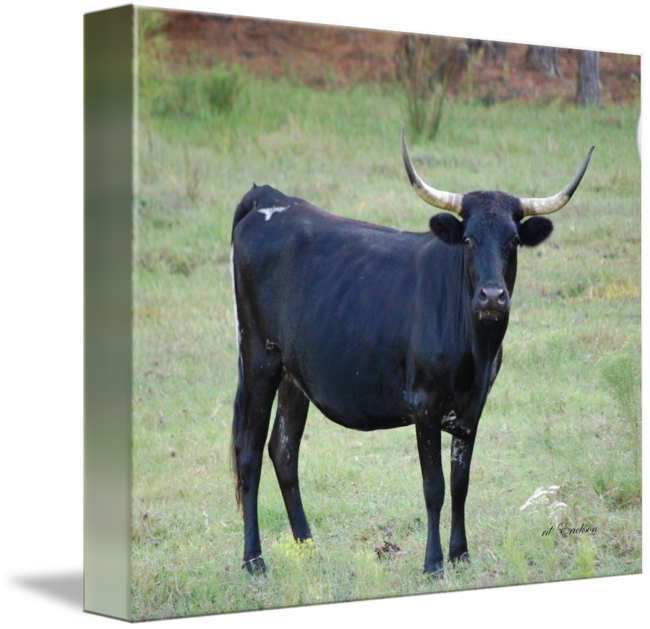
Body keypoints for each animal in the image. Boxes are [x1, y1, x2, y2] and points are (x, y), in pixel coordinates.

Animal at [229, 125, 593, 576]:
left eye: (513, 241)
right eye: (468, 239)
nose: (492, 296)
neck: (476, 349)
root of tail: (269, 197)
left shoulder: (473, 407)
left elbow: (461, 483)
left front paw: (461, 553)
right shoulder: (425, 403)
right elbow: (434, 486)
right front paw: (434, 562)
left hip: (294, 375)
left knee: (283, 451)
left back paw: (308, 549)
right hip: (258, 358)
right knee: (249, 452)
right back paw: (254, 560)